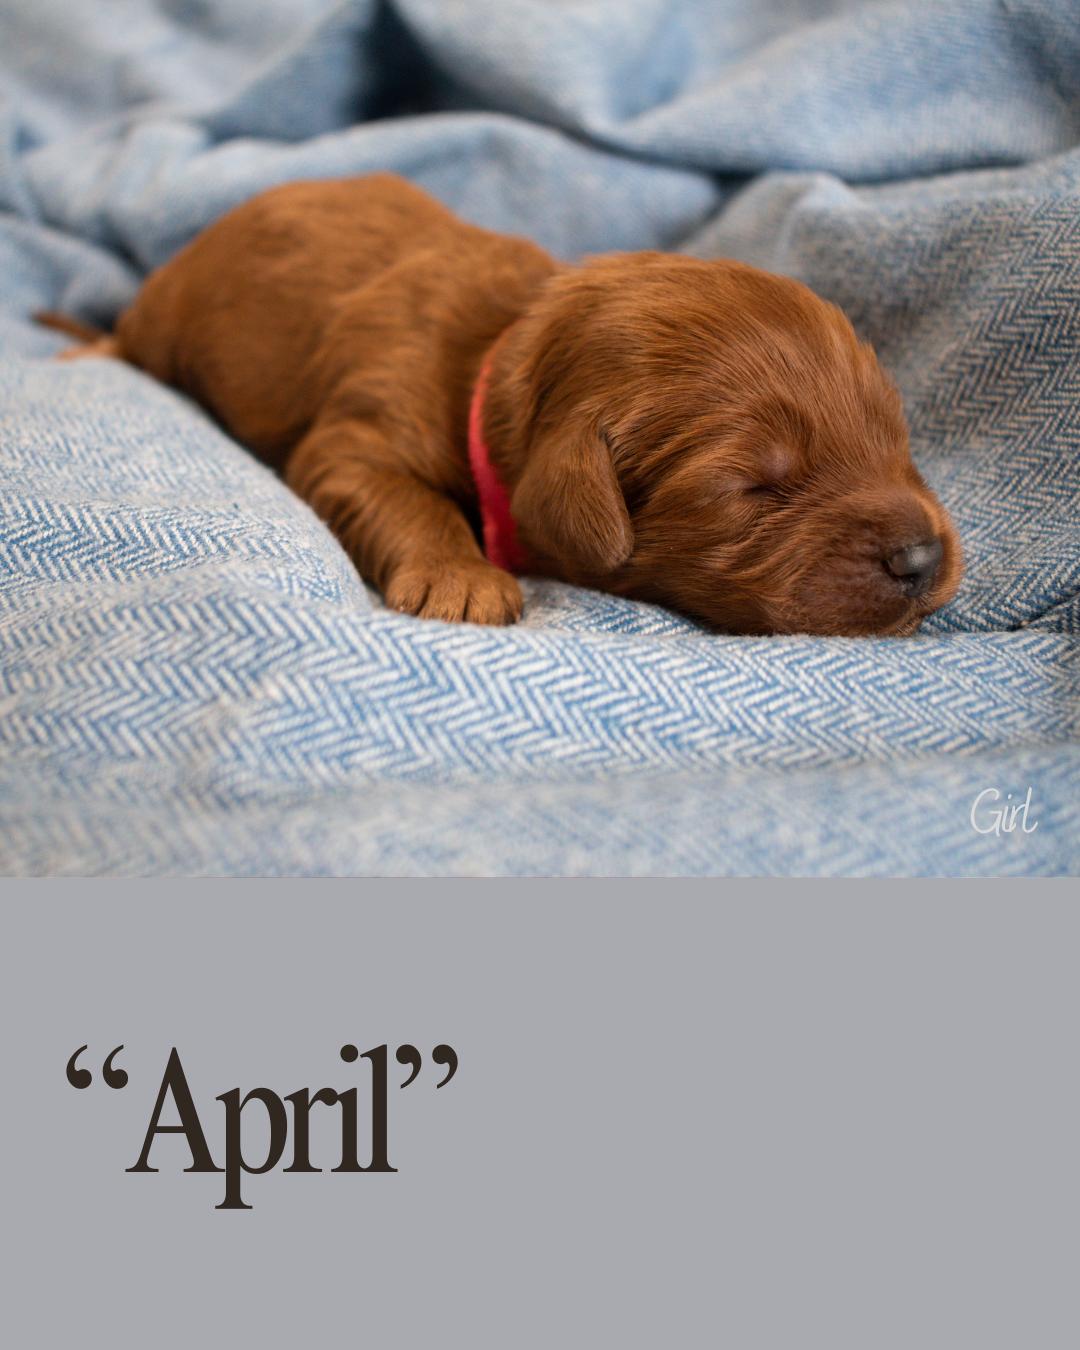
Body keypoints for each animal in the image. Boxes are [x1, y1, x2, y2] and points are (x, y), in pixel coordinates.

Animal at [38, 172, 961, 634]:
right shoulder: (364, 433)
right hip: (166, 320)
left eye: (895, 439)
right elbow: (404, 495)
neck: (493, 356)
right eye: (755, 488)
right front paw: (459, 578)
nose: (922, 558)